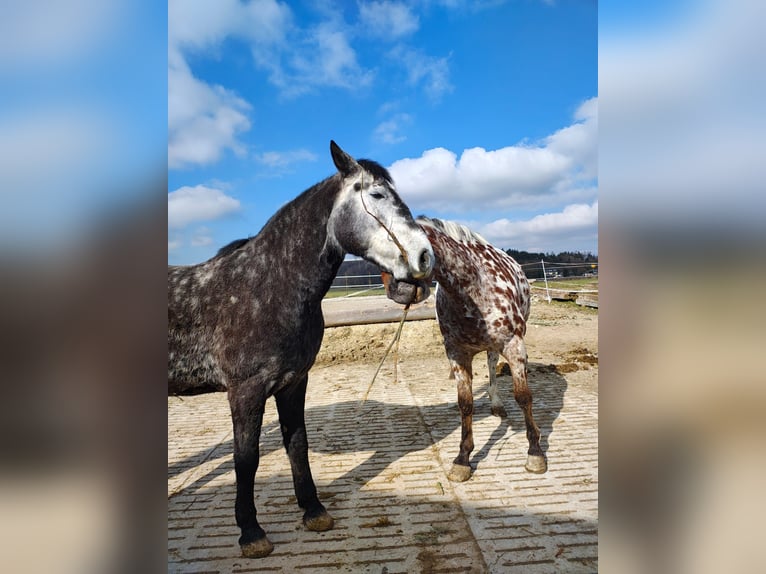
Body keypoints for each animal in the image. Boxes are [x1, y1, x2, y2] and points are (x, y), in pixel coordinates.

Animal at [168, 141, 434, 558]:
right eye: (376, 195)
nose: (424, 256)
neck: (267, 286)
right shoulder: (245, 392)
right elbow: (247, 459)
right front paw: (251, 532)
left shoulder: (293, 383)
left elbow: (297, 444)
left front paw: (313, 510)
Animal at [382, 216, 546, 483]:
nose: (398, 290)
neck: (473, 288)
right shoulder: (457, 354)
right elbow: (465, 403)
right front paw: (462, 459)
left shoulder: (514, 347)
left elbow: (523, 397)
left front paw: (535, 452)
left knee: (492, 365)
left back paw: (498, 405)